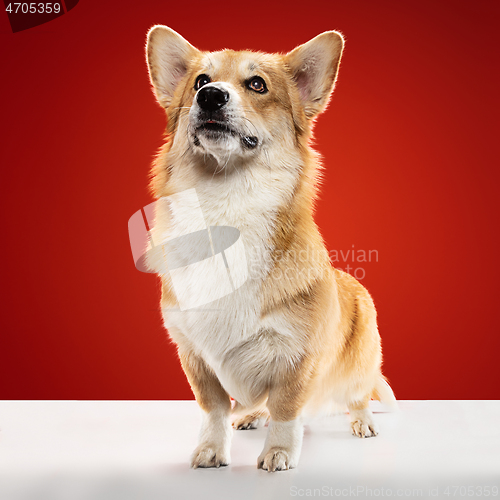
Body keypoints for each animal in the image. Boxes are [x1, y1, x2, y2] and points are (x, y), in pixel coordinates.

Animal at [144, 25, 394, 472]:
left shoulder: (298, 354)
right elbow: (213, 407)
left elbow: (287, 407)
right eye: (200, 82)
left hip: (360, 361)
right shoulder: (194, 355)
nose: (211, 96)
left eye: (257, 84)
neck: (226, 207)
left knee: (357, 392)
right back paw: (252, 414)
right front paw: (212, 450)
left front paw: (278, 453)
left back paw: (362, 421)